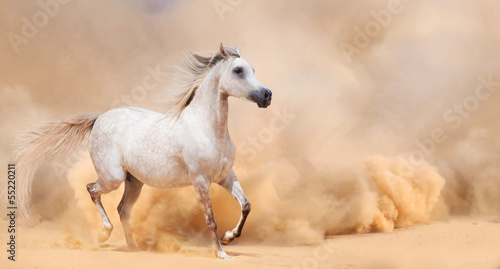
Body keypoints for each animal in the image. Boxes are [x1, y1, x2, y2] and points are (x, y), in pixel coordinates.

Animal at [15, 44, 272, 258]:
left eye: (253, 69)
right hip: (113, 177)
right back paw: (104, 234)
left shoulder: (225, 176)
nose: (267, 95)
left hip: (134, 181)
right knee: (92, 190)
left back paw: (133, 247)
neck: (206, 129)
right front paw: (221, 253)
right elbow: (211, 220)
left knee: (123, 209)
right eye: (238, 70)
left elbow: (246, 205)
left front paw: (229, 238)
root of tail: (99, 118)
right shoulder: (200, 181)